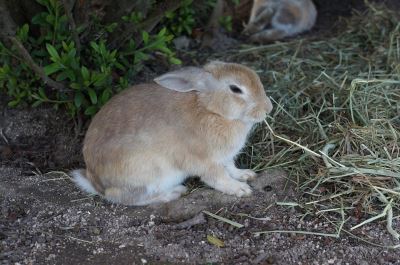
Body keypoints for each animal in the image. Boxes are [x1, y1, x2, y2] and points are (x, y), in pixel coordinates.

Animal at [70, 61, 274, 204]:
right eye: (235, 89)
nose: (268, 109)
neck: (210, 110)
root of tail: (95, 182)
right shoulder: (204, 161)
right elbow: (218, 178)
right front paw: (241, 189)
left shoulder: (225, 157)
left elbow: (231, 167)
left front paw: (246, 175)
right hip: (147, 171)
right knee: (125, 198)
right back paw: (173, 193)